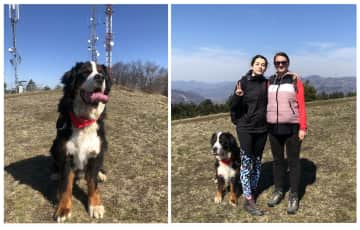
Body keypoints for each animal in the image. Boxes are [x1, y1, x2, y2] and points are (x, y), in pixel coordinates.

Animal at [48, 61, 111, 223]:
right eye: (85, 72)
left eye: (102, 72)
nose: (100, 77)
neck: (84, 121)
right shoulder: (66, 156)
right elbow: (66, 186)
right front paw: (63, 209)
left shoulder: (95, 152)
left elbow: (93, 184)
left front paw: (95, 205)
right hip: (54, 145)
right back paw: (55, 173)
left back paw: (101, 174)